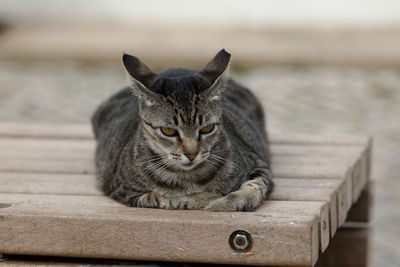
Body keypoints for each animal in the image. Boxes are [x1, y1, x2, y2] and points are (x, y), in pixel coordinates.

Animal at [90, 49, 272, 211]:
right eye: (168, 131)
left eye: (207, 128)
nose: (192, 154)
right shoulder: (123, 190)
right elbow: (169, 198)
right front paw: (208, 199)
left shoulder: (258, 164)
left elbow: (255, 187)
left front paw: (225, 202)